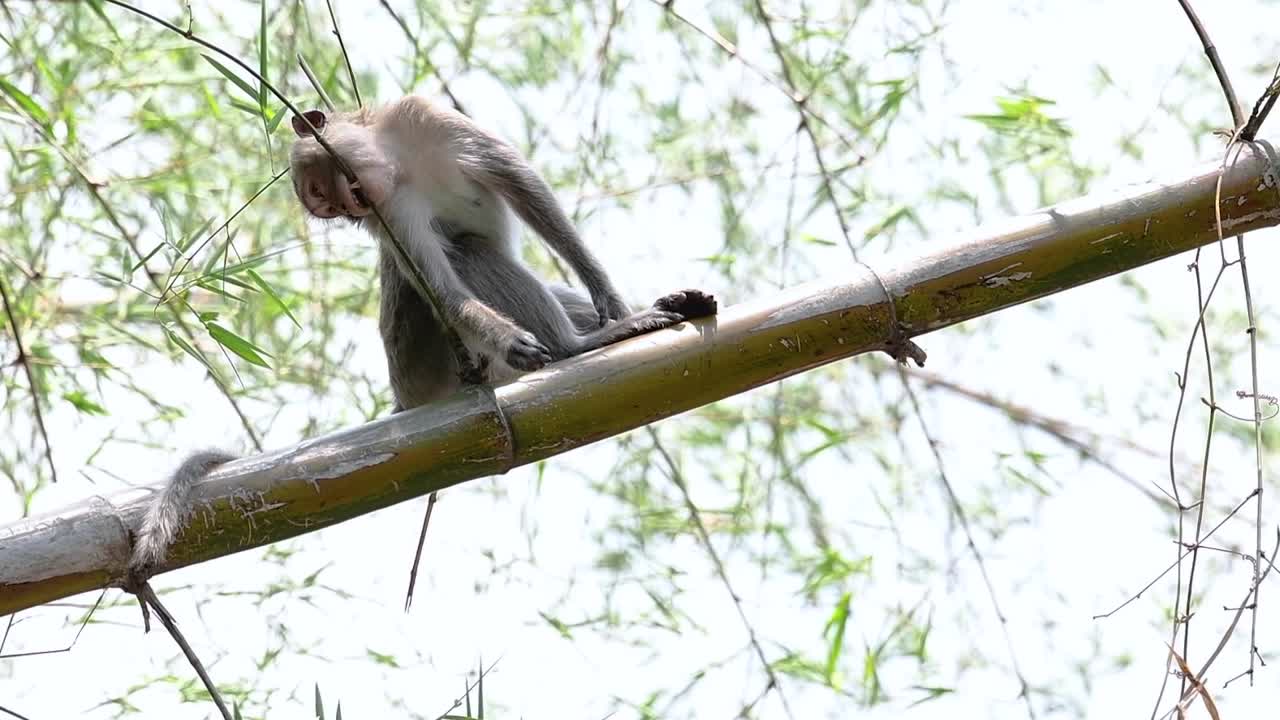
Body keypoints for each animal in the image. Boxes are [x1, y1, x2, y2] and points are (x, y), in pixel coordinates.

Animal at [287, 95, 718, 410]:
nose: (346, 211)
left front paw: (604, 289)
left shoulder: (424, 116)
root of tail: (407, 398)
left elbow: (523, 186)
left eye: (320, 192)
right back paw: (577, 345)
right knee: (468, 251)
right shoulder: (390, 212)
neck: (397, 165)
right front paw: (510, 339)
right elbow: (443, 290)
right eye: (329, 208)